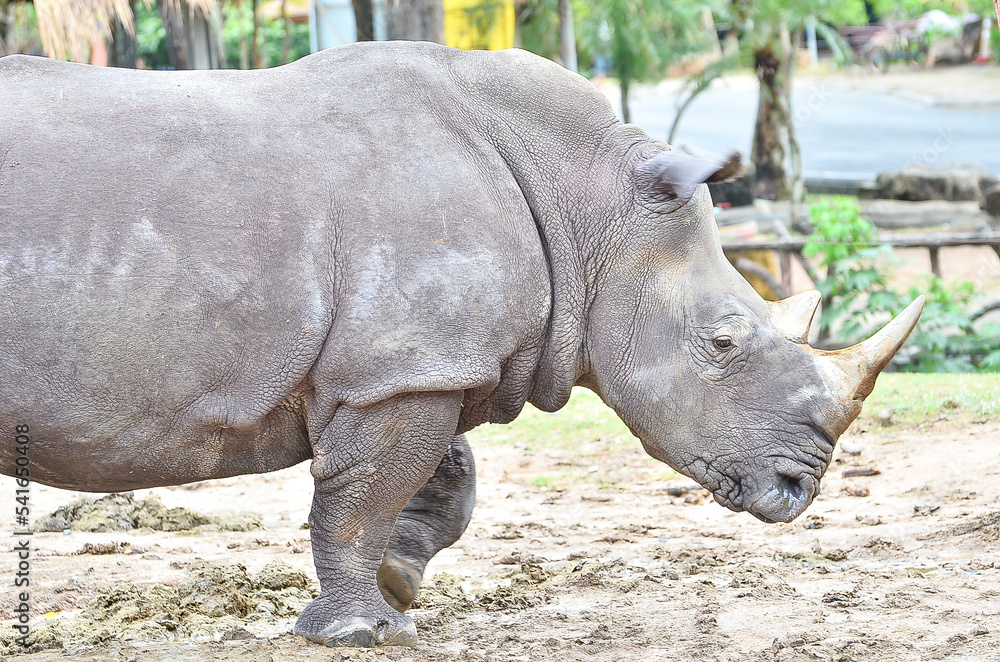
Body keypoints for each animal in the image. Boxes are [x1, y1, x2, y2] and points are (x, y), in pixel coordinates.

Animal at [0, 42, 922, 648]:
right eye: (724, 341)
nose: (798, 489)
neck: (590, 204)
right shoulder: (404, 366)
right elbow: (361, 499)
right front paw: (364, 633)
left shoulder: (413, 365)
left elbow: (439, 480)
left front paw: (398, 585)